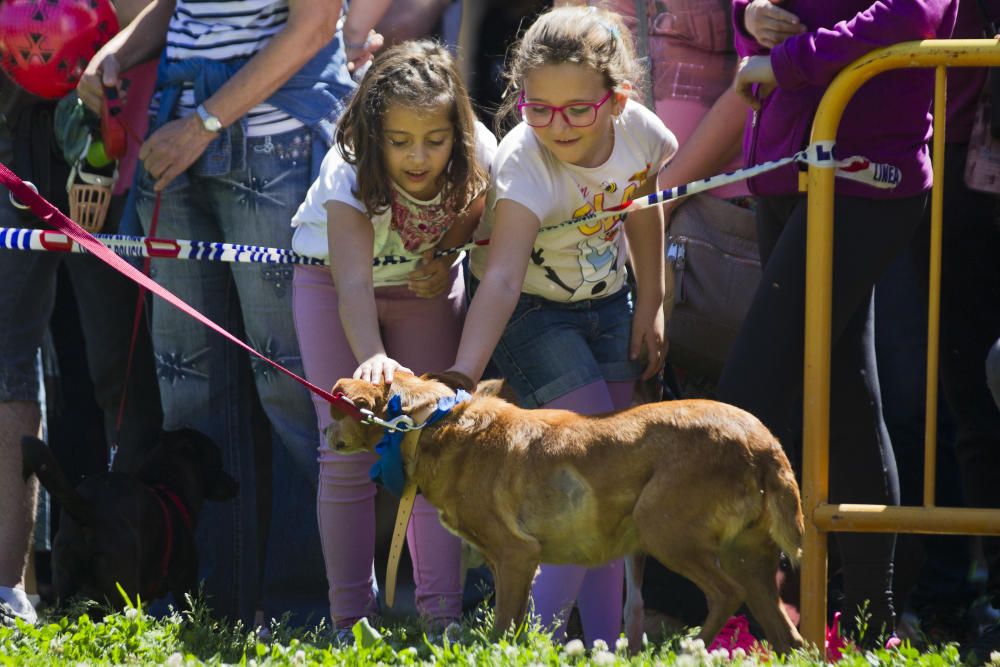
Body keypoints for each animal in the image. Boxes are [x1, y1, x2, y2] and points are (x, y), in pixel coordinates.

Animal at [22, 430, 238, 608]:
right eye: (219, 461)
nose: (235, 484)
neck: (167, 485)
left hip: (65, 583)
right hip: (123, 589)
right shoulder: (185, 584)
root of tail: (89, 508)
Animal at [332, 374, 808, 656]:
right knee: (789, 636)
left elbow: (501, 627)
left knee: (725, 594)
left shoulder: (515, 554)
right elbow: (515, 625)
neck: (429, 423)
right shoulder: (518, 564)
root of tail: (764, 442)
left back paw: (682, 651)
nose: (324, 432)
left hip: (663, 528)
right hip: (750, 562)